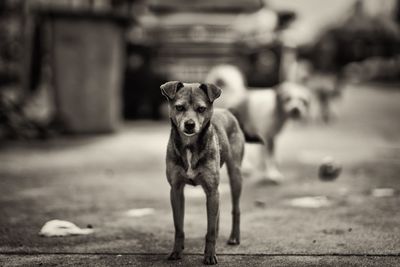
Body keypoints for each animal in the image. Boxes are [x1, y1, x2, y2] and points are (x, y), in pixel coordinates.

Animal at [161, 81, 245, 266]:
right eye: (179, 107)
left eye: (201, 109)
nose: (189, 124)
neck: (190, 145)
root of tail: (228, 111)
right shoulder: (176, 190)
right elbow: (179, 227)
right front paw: (177, 251)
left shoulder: (212, 190)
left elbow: (210, 231)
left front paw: (210, 255)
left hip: (235, 175)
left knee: (235, 209)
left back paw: (234, 237)